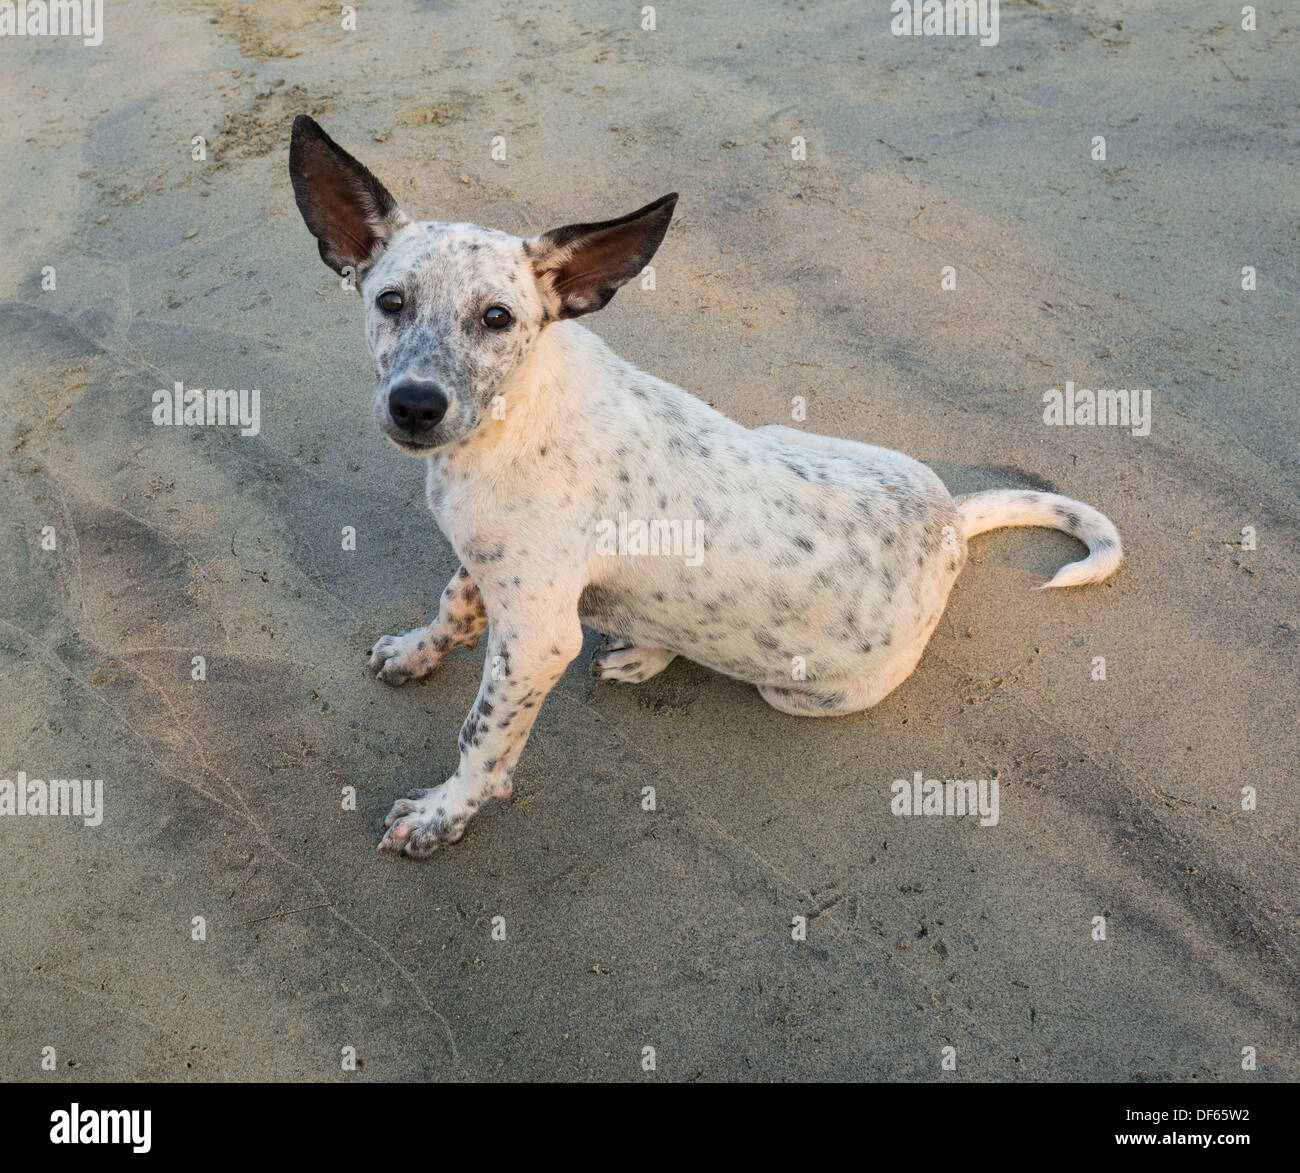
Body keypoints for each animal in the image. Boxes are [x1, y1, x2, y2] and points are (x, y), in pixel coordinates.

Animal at [289, 115, 1123, 858]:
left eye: (497, 317)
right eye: (390, 301)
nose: (415, 404)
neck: (511, 416)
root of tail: (952, 517)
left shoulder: (537, 636)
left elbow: (483, 735)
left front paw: (444, 814)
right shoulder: (488, 562)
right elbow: (451, 609)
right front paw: (416, 652)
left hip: (805, 689)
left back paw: (643, 652)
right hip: (781, 433)